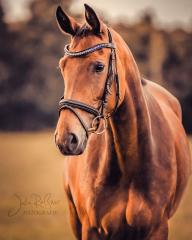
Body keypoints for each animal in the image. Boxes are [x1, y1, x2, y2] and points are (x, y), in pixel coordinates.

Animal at [54, 4, 191, 240]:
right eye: (63, 67)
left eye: (99, 67)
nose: (65, 138)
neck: (130, 166)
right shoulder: (91, 229)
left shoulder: (157, 229)